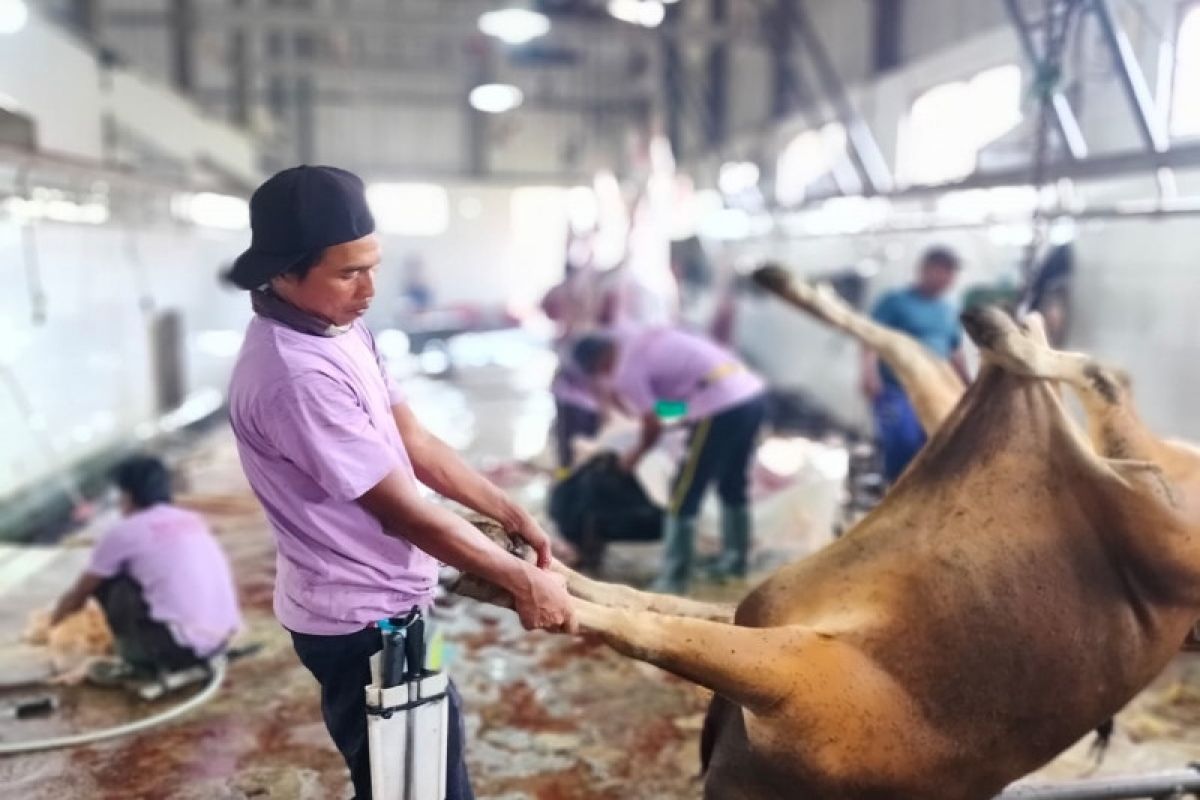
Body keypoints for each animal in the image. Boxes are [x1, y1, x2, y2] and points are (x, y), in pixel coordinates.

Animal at [451, 296, 1200, 800]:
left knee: (1103, 382)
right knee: (1069, 385)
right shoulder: (787, 651)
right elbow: (648, 609)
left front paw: (509, 580)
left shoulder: (803, 679)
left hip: (1168, 536)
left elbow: (647, 628)